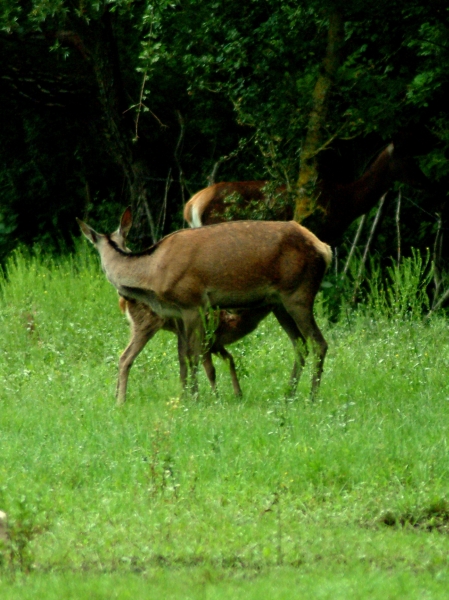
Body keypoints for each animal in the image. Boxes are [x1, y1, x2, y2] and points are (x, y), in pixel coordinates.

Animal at [77, 209, 330, 400]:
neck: (153, 274)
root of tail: (324, 249)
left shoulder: (192, 303)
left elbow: (193, 355)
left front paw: (195, 398)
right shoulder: (178, 313)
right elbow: (183, 356)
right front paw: (185, 396)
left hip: (298, 293)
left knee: (319, 343)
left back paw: (312, 397)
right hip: (279, 303)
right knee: (300, 345)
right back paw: (289, 394)